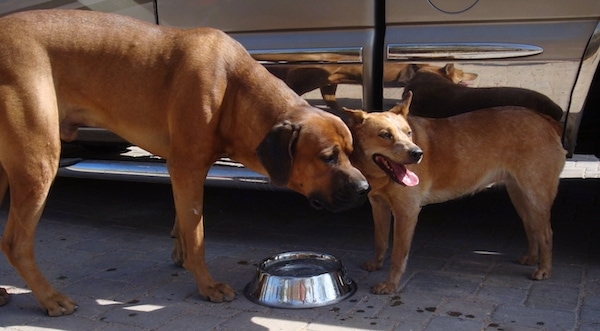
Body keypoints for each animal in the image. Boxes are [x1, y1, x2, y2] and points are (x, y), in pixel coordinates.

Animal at [0, 9, 370, 316]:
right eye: (327, 157)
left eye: (351, 152)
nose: (365, 187)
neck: (233, 90)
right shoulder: (187, 167)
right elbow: (198, 234)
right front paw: (206, 284)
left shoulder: (181, 168)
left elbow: (183, 220)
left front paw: (181, 254)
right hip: (38, 162)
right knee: (16, 244)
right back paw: (49, 298)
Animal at [344, 91, 564, 296]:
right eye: (385, 135)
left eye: (408, 133)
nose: (418, 153)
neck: (381, 176)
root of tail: (544, 119)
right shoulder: (379, 206)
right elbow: (380, 241)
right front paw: (376, 263)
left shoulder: (407, 213)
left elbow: (398, 256)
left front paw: (390, 285)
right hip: (520, 196)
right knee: (532, 227)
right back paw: (532, 258)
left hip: (536, 196)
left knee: (546, 233)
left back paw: (544, 270)